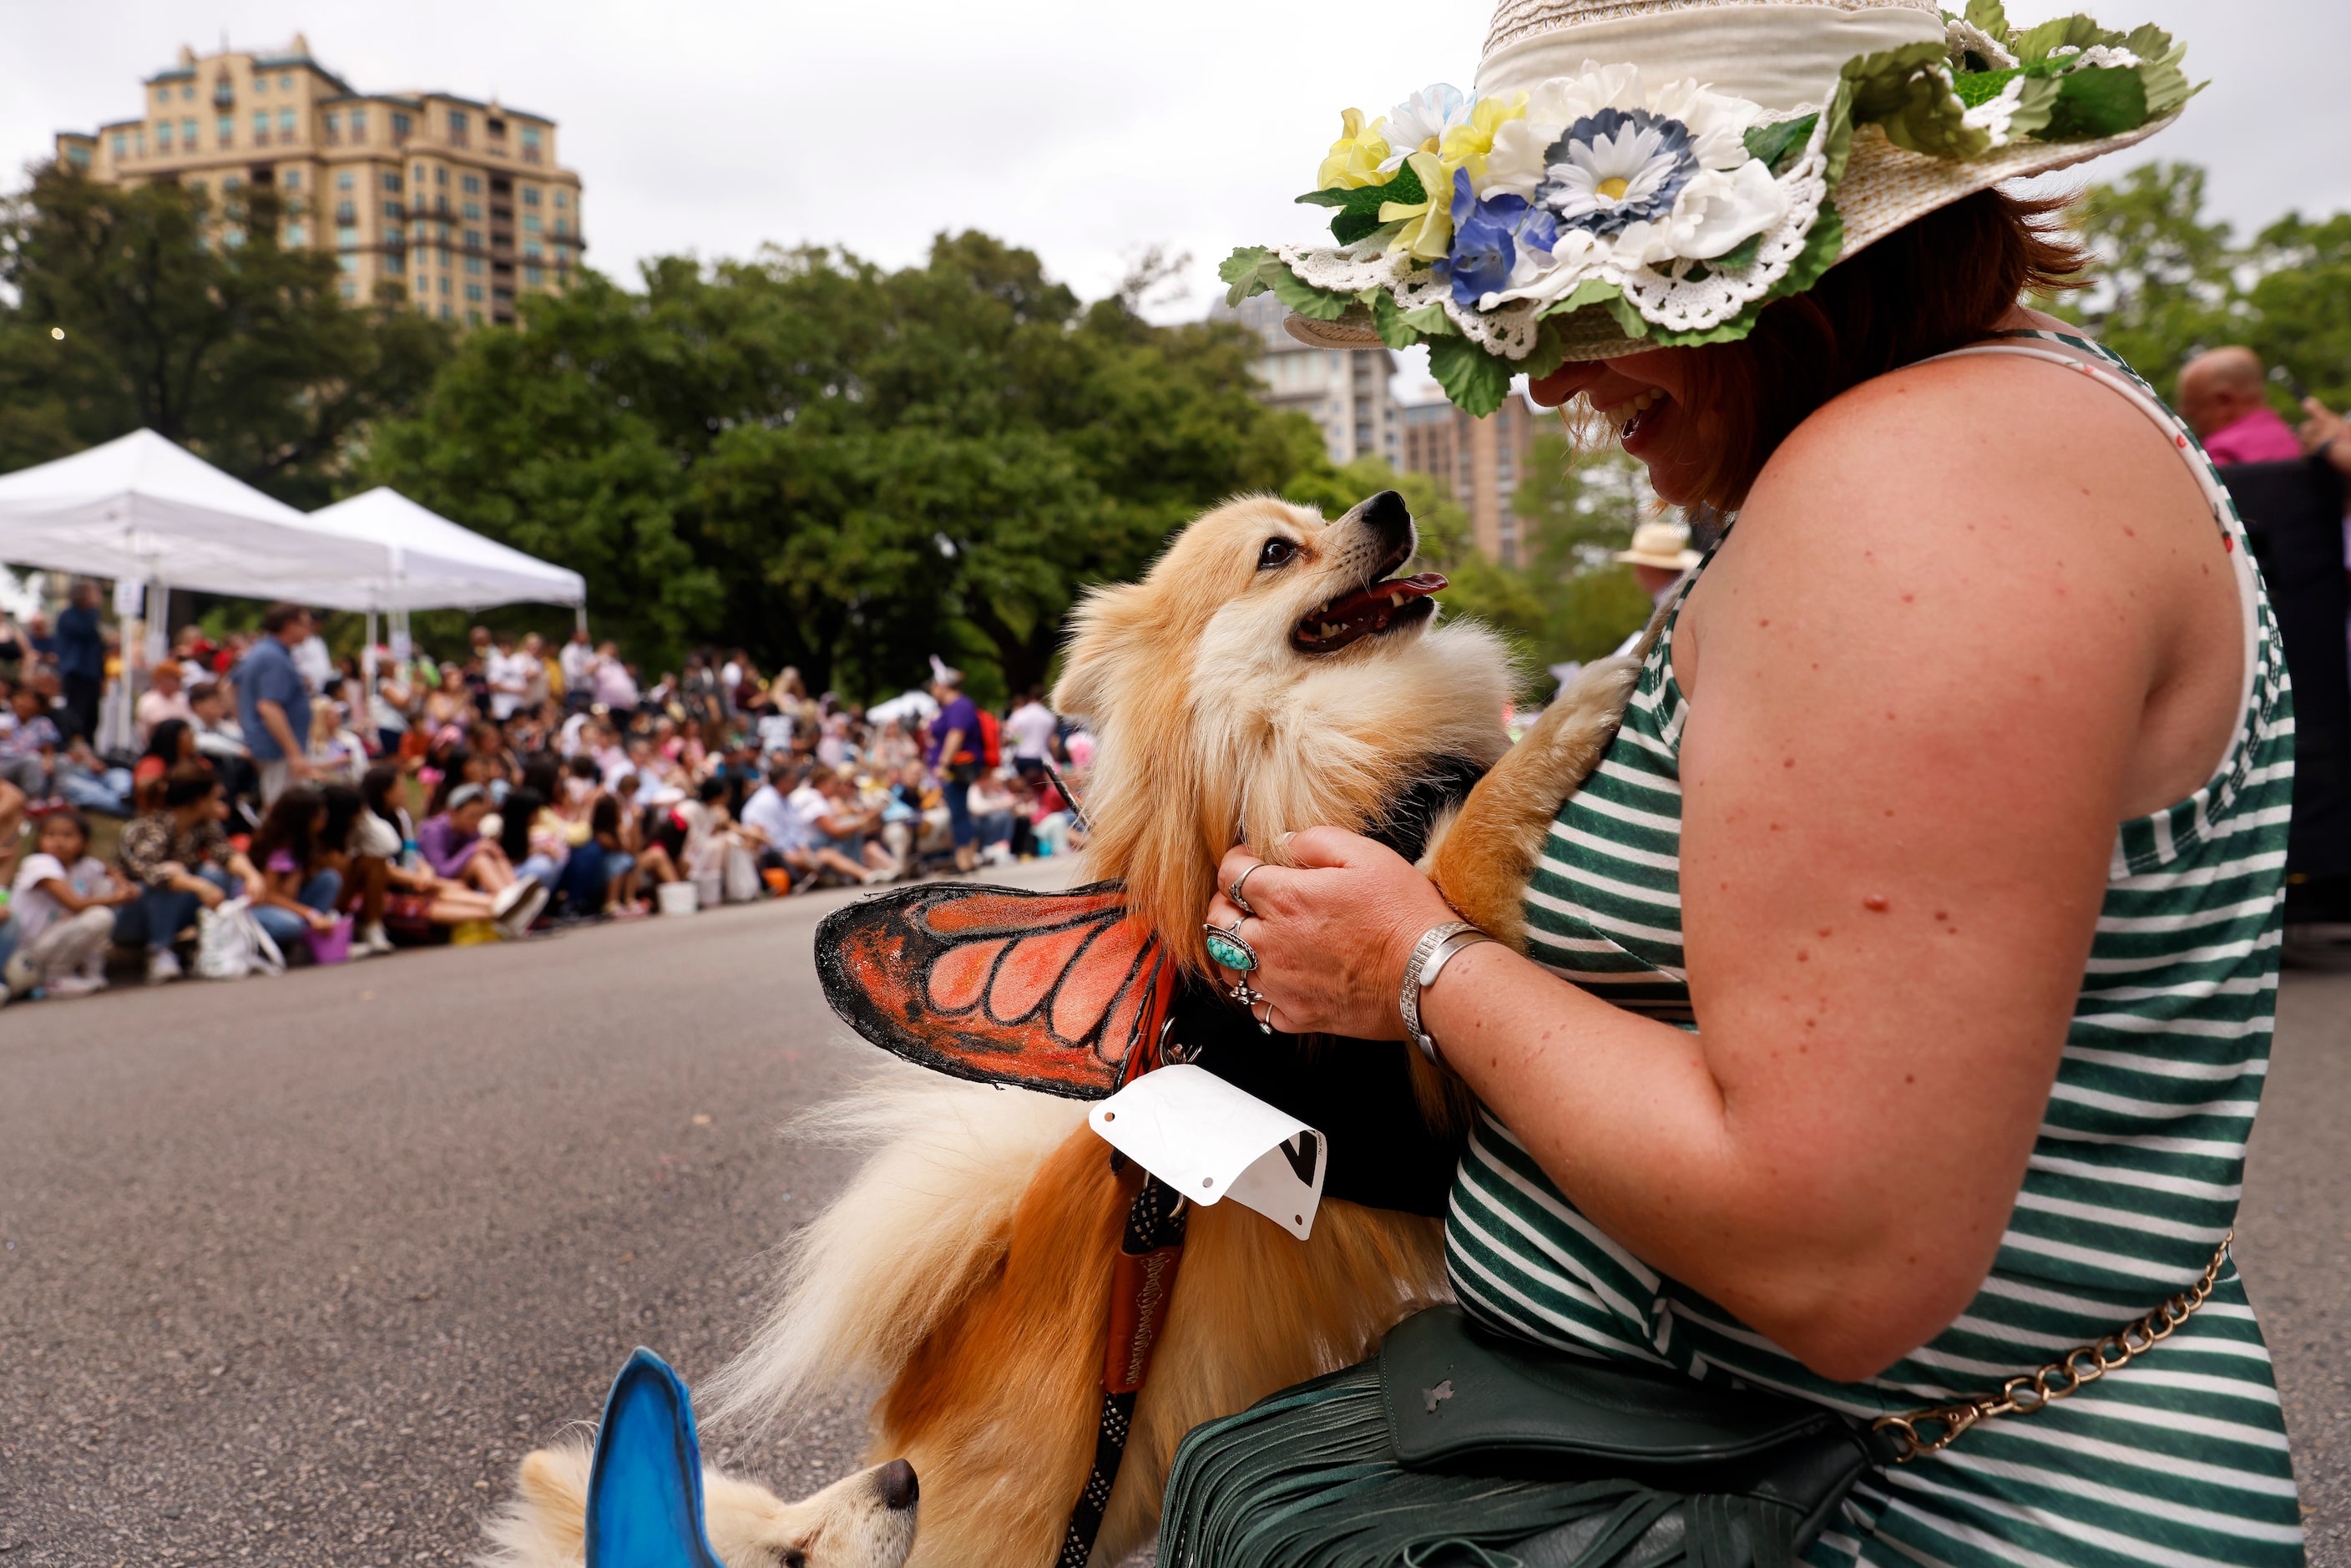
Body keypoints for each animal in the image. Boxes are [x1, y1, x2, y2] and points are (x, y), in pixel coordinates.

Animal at [486, 491, 1646, 1568]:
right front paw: (1581, 707)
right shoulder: (1396, 1028)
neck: (1313, 742)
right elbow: (1466, 854)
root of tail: (891, 1452)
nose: (1388, 503)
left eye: (1321, 515)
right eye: (1278, 551)